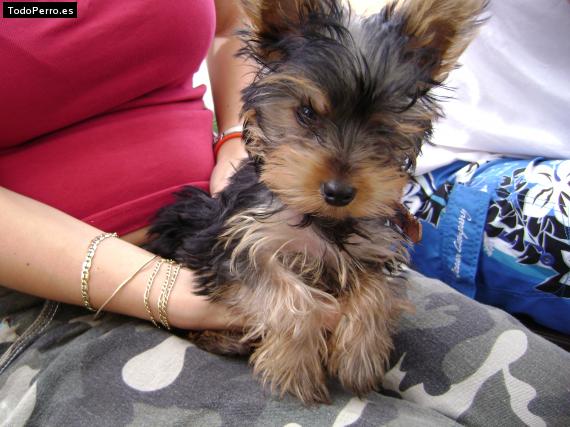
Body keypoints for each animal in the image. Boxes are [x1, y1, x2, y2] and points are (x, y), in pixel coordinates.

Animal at [146, 0, 488, 404]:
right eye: (306, 112)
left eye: (382, 126)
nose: (339, 193)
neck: (321, 217)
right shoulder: (233, 243)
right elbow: (292, 296)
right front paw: (295, 368)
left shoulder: (374, 249)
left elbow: (377, 291)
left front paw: (360, 358)